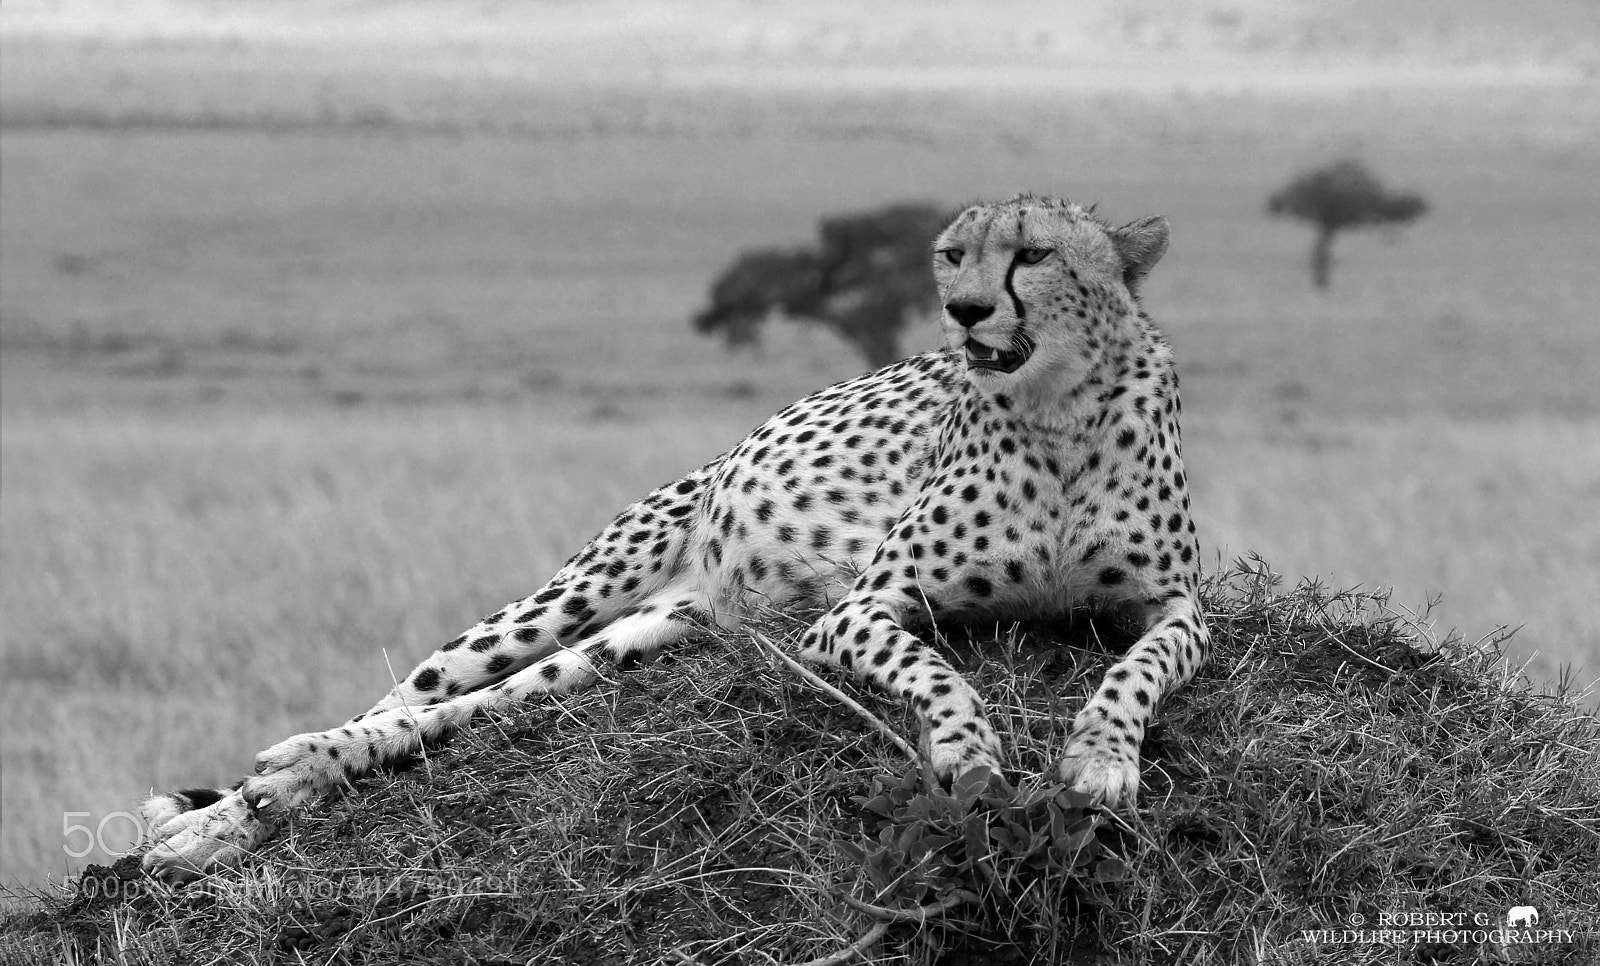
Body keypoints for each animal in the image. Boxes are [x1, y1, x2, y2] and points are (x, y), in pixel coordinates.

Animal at [140, 193, 1210, 884]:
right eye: (953, 255)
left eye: (1032, 255)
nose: (965, 309)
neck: (1057, 413)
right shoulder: (860, 608)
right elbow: (937, 669)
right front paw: (966, 748)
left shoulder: (1180, 607)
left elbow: (1136, 671)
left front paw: (1100, 760)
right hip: (564, 599)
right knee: (399, 701)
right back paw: (217, 822)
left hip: (645, 638)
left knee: (454, 718)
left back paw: (270, 797)